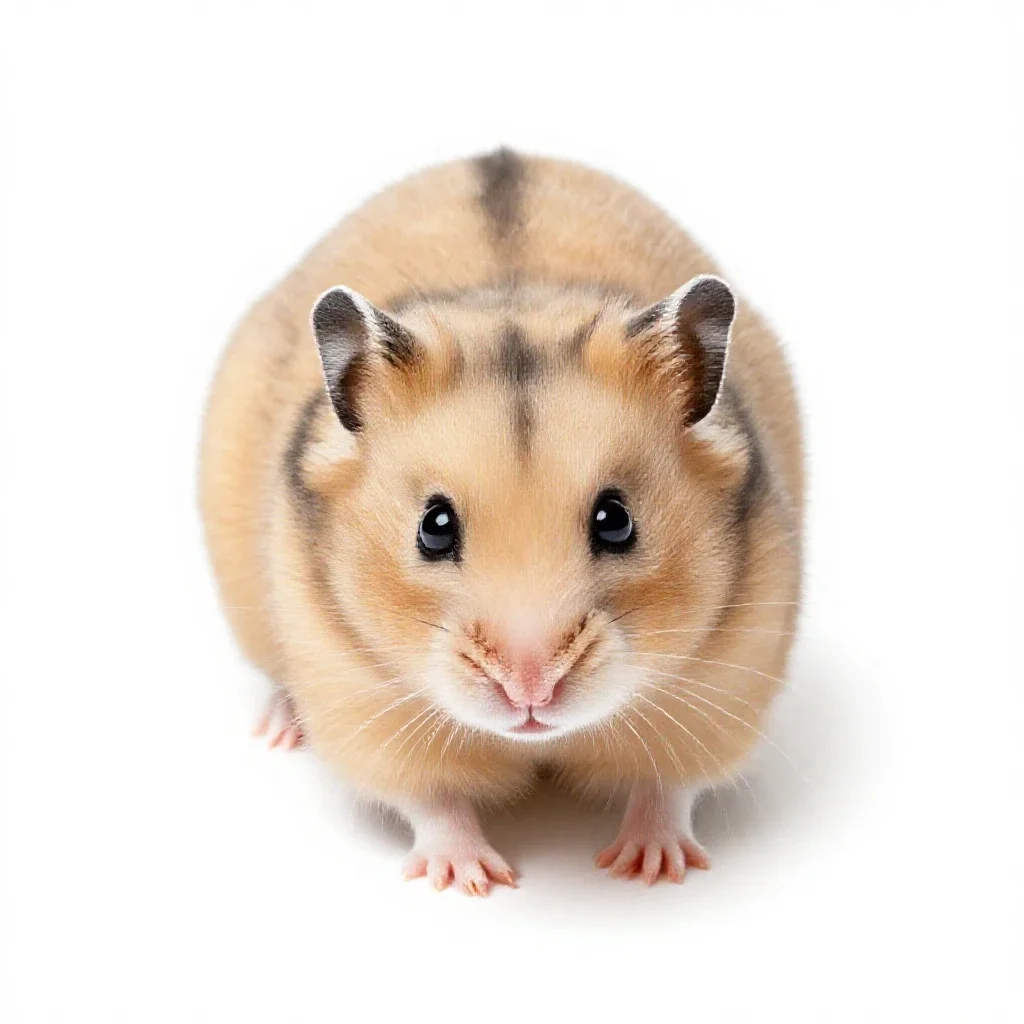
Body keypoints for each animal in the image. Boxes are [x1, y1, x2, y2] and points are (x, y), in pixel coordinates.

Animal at [200, 149, 803, 894]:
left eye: (616, 521)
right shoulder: (356, 693)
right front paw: (473, 878)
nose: (530, 690)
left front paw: (646, 869)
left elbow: (667, 787)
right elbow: (432, 799)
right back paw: (282, 727)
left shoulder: (725, 679)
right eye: (433, 527)